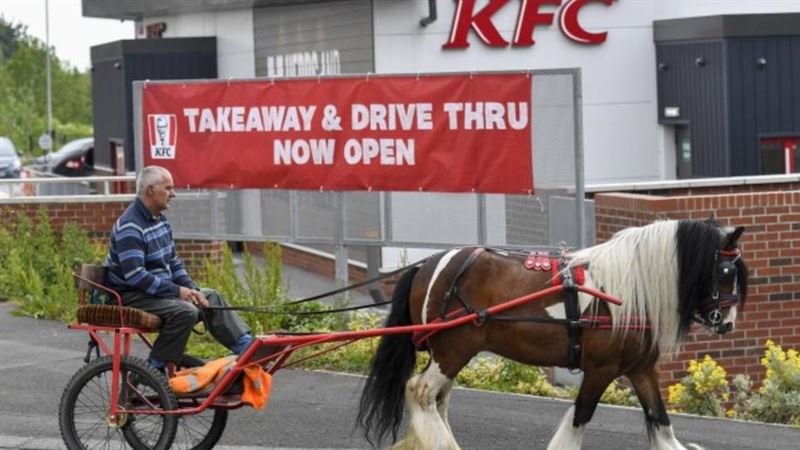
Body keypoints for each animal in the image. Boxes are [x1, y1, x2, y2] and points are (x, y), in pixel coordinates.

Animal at [358, 219, 752, 450]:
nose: (727, 322)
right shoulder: (601, 369)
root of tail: (427, 266)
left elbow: (661, 421)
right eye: (726, 270)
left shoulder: (640, 369)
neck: (626, 291)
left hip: (451, 353)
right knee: (419, 392)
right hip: (452, 351)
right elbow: (580, 416)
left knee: (437, 400)